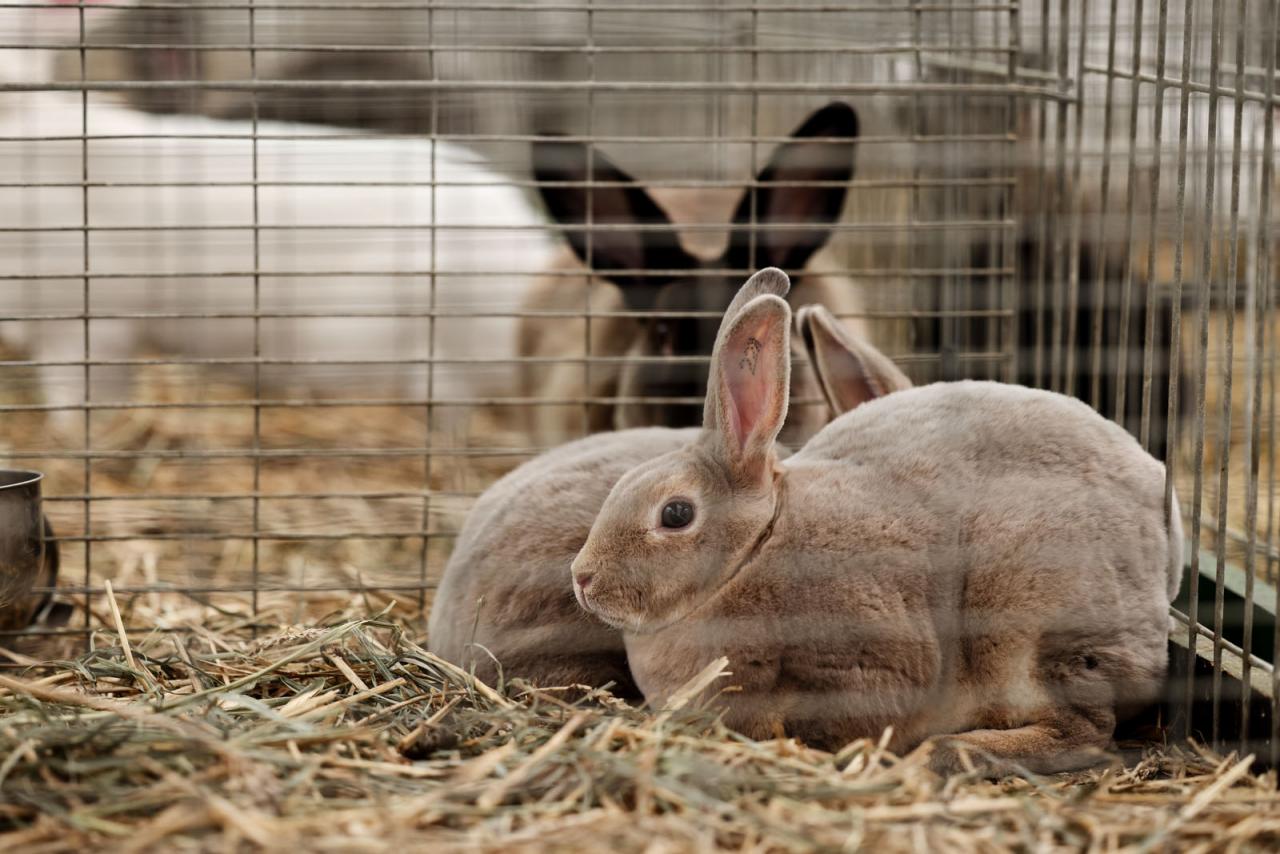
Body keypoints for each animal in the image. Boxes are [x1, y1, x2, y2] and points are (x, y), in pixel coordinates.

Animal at [570, 267, 1177, 773]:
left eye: (675, 513)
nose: (582, 578)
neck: (752, 552)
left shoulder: (866, 658)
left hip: (1032, 626)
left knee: (1084, 732)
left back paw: (954, 751)